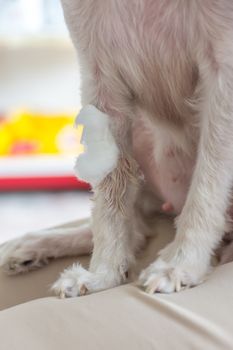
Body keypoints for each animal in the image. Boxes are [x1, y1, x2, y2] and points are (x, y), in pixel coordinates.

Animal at [0, 0, 233, 296]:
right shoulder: (100, 79)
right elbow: (110, 197)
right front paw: (102, 274)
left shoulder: (223, 73)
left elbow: (208, 184)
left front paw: (181, 263)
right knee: (137, 230)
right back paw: (33, 244)